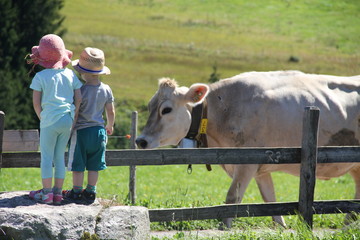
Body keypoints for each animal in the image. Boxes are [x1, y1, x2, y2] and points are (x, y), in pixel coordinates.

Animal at [136, 70, 360, 228]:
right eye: (149, 106)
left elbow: (232, 199)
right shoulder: (260, 167)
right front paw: (281, 228)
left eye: (166, 110)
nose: (140, 141)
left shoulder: (247, 163)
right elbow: (270, 200)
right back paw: (348, 224)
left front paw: (225, 228)